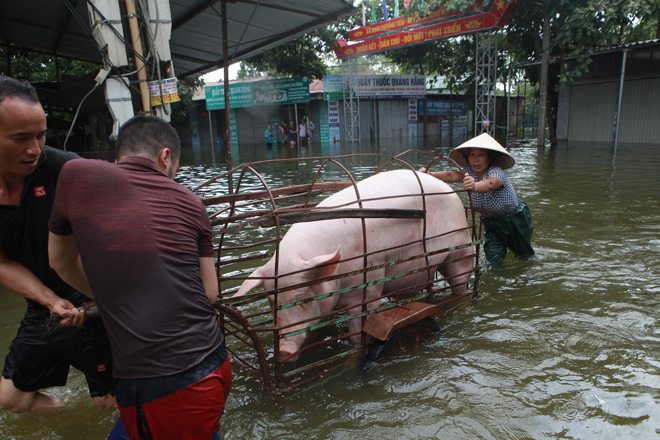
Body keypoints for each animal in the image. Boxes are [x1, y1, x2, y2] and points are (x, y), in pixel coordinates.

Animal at [235, 168, 472, 360]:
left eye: (304, 298)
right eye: (271, 301)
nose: (283, 351)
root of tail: (452, 193)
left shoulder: (369, 288)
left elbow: (358, 334)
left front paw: (356, 349)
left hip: (461, 251)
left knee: (461, 286)